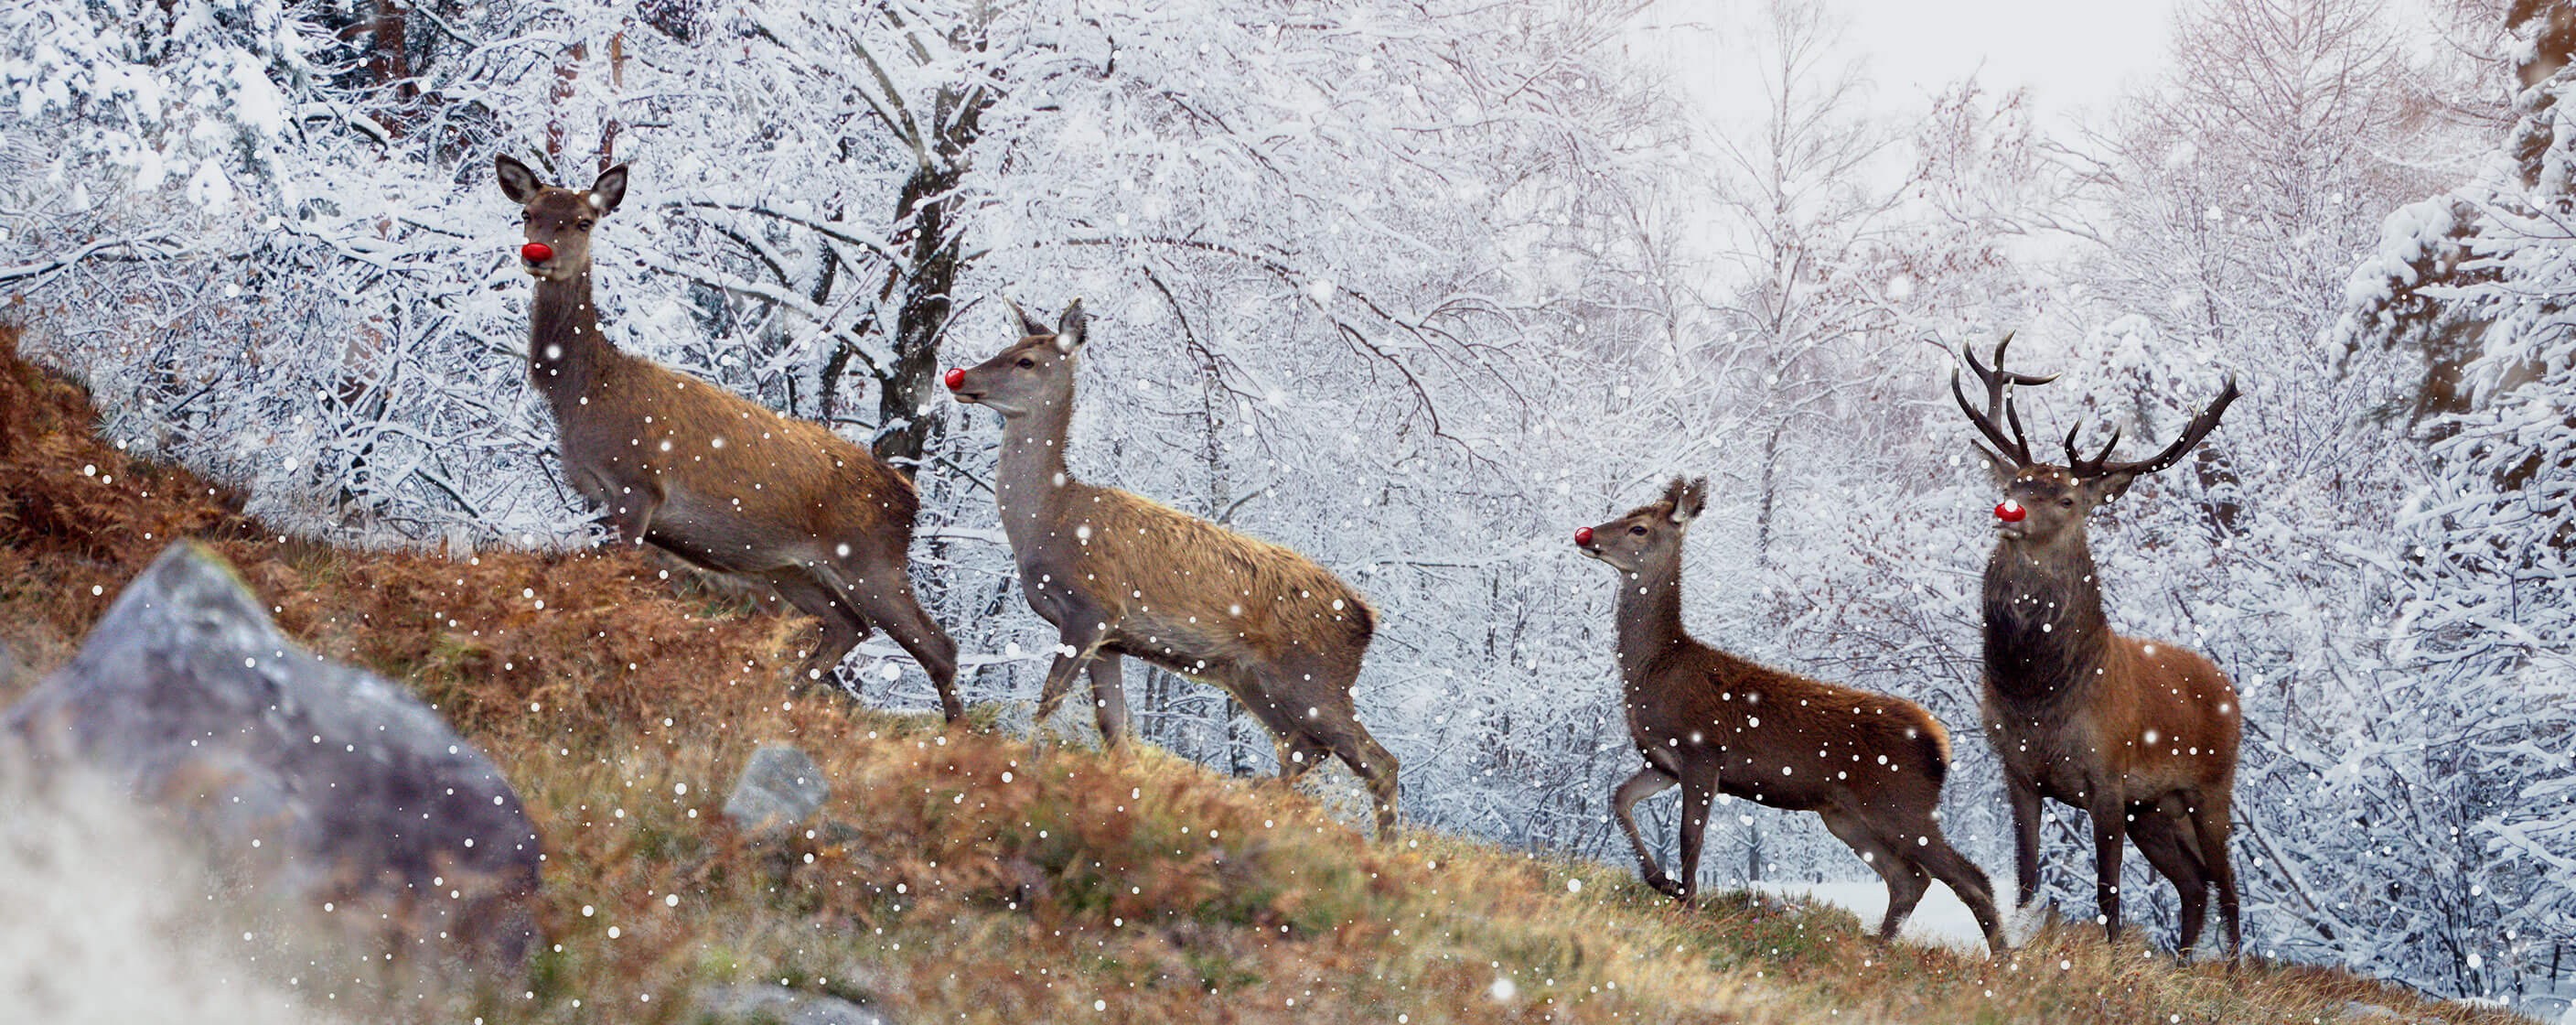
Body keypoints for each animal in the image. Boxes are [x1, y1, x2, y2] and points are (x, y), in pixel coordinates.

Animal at [495, 154, 962, 721]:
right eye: (529, 214)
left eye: (584, 221)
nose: (536, 253)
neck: (584, 393)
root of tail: (911, 495)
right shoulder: (598, 496)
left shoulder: (637, 485)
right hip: (788, 567)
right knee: (847, 625)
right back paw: (779, 702)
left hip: (871, 559)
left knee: (938, 645)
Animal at [943, 299, 1399, 838]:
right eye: (1007, 345)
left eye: (1026, 362)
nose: (959, 377)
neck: (1049, 520)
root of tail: (1366, 618)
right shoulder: (1111, 638)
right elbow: (1114, 731)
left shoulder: (1091, 607)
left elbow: (1049, 700)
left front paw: (1020, 774)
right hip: (1253, 679)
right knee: (1304, 748)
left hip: (1314, 679)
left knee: (1376, 760)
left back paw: (1377, 849)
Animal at [1577, 477, 2008, 952]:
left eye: (1638, 528)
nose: (1586, 536)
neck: (1656, 670)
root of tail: (1941, 742)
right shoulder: (1662, 761)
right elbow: (1620, 799)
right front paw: (1663, 883)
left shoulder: (1702, 750)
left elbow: (1691, 836)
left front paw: (1687, 908)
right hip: (1844, 815)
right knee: (1910, 878)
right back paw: (1877, 948)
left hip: (1903, 803)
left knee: (1970, 878)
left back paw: (2002, 961)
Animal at [1949, 334, 2243, 958]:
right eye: (2013, 485)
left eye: (2066, 499)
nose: (2006, 511)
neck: (2039, 696)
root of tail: (2230, 689)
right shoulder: (2018, 771)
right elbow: (2027, 876)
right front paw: (2018, 944)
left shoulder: (2108, 777)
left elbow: (2109, 892)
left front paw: (2109, 960)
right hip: (2155, 809)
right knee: (2194, 883)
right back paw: (2183, 966)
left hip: (2211, 788)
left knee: (2227, 883)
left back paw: (2229, 970)